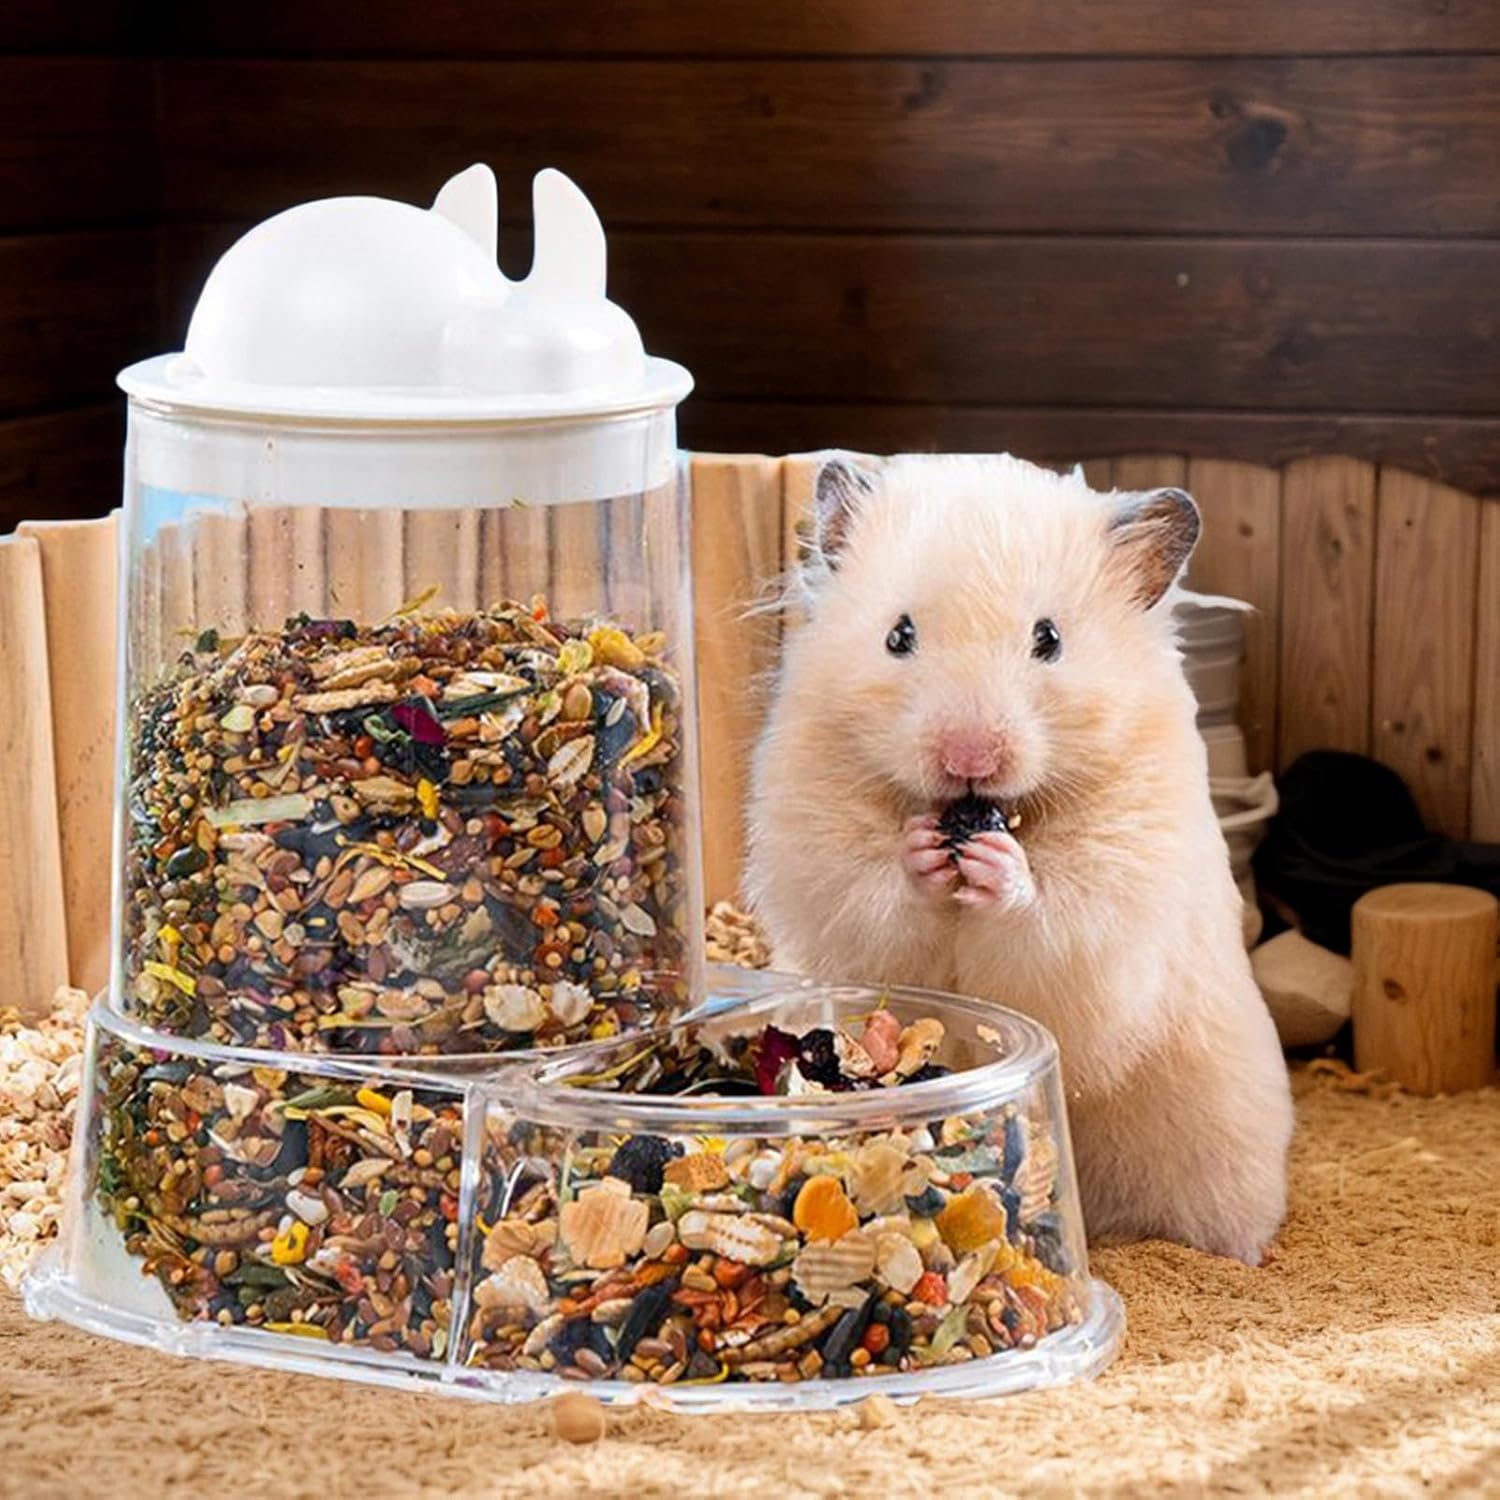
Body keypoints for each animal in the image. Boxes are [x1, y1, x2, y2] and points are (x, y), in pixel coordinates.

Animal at [745, 453, 1292, 1264]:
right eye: (898, 635)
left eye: (1049, 638)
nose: (968, 757)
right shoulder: (822, 853)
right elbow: (881, 896)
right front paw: (922, 853)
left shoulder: (1111, 903)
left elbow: (1044, 920)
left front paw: (1001, 868)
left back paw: (1236, 1252)